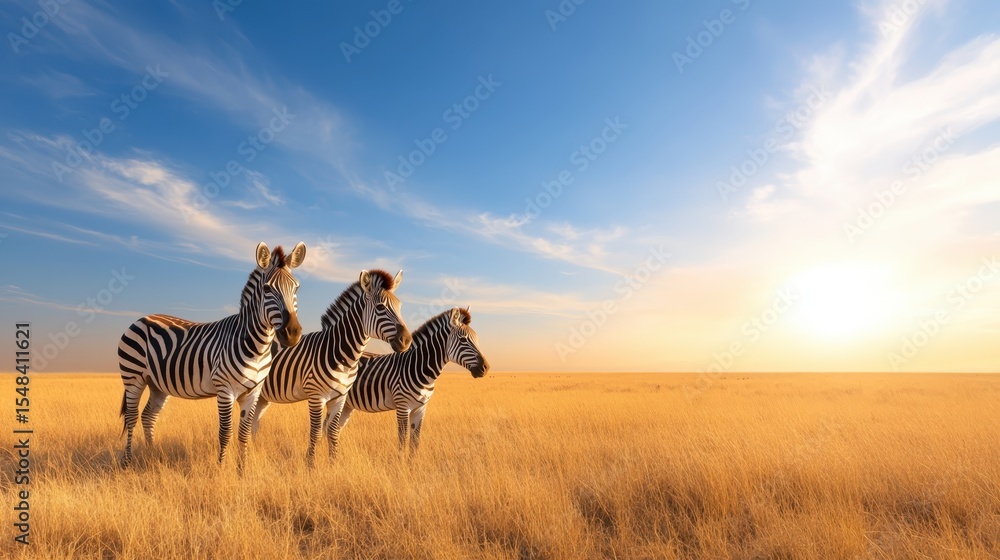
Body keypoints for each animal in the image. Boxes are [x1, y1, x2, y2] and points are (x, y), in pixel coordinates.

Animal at [117, 242, 306, 470]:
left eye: (296, 288)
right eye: (267, 289)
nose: (292, 333)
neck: (257, 348)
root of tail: (141, 319)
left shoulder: (253, 391)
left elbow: (244, 433)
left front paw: (242, 470)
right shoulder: (225, 389)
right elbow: (225, 433)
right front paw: (222, 469)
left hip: (157, 384)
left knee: (148, 416)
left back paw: (151, 455)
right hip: (133, 377)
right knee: (132, 417)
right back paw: (127, 460)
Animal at [253, 269, 413, 464]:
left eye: (400, 307)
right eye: (380, 307)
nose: (407, 340)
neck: (340, 354)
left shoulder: (340, 398)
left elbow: (333, 432)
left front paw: (333, 464)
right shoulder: (316, 396)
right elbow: (315, 433)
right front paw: (310, 465)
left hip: (262, 396)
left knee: (253, 424)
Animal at [339, 307, 489, 453]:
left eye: (476, 339)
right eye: (463, 339)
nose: (486, 368)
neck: (418, 367)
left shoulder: (420, 408)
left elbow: (415, 442)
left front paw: (413, 462)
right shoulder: (403, 406)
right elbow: (403, 441)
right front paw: (400, 461)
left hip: (347, 404)